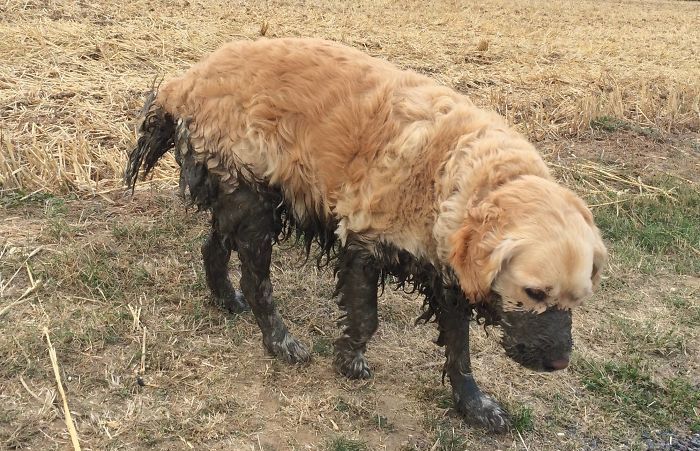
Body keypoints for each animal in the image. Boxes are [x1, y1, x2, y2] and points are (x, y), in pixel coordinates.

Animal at [124, 37, 608, 432]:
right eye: (534, 293)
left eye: (579, 299)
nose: (560, 362)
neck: (456, 172)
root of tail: (187, 79)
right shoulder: (364, 243)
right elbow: (366, 317)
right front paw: (349, 362)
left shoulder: (446, 275)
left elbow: (460, 350)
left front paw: (474, 405)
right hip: (255, 202)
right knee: (256, 280)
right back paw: (281, 342)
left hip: (239, 199)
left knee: (212, 247)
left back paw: (226, 299)